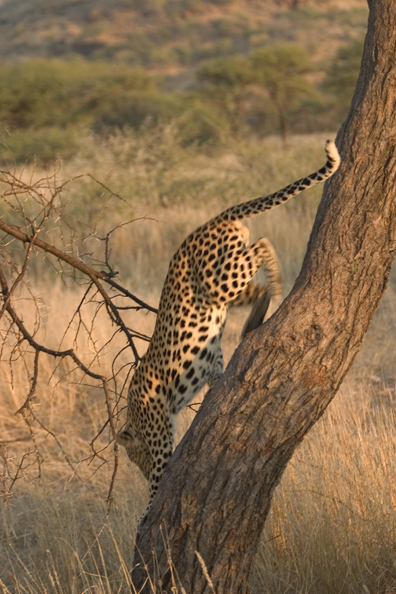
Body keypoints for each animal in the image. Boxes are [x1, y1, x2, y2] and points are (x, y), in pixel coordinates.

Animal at [117, 140, 340, 528]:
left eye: (133, 458)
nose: (137, 469)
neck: (135, 412)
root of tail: (212, 220)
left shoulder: (159, 439)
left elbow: (159, 478)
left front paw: (145, 514)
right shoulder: (208, 363)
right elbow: (216, 370)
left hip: (219, 278)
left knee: (262, 242)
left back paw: (276, 282)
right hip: (225, 289)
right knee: (255, 277)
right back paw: (263, 304)